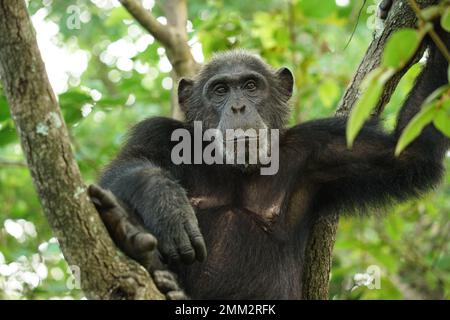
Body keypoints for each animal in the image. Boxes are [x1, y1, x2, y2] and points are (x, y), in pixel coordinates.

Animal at [89, 1, 450, 298]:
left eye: (251, 86)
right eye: (220, 90)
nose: (238, 107)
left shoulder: (322, 146)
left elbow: (410, 152)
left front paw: (434, 19)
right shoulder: (159, 134)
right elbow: (123, 169)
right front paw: (166, 204)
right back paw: (131, 236)